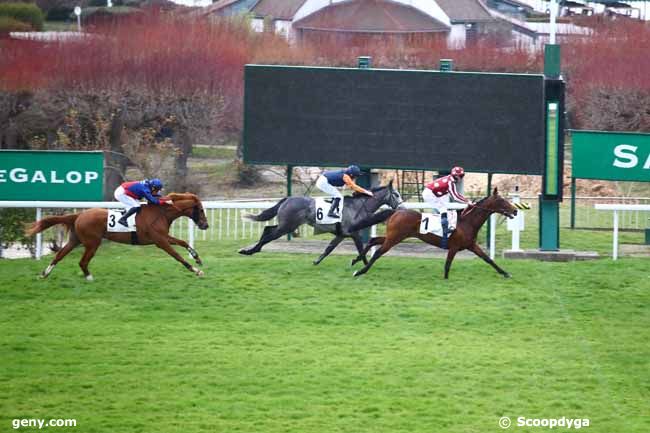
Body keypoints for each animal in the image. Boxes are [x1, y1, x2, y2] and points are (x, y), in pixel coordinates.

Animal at [24, 192, 208, 280]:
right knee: (82, 261)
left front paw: (197, 258)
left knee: (60, 255)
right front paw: (196, 270)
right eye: (200, 210)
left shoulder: (163, 237)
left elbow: (183, 242)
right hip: (92, 243)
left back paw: (44, 273)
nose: (205, 225)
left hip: (75, 240)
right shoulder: (160, 240)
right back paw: (89, 277)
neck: (161, 212)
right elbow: (177, 255)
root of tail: (79, 215)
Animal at [350, 187, 516, 278]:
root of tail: (395, 211)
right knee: (378, 252)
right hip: (394, 238)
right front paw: (446, 279)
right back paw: (360, 271)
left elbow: (488, 259)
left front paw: (505, 273)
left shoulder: (471, 245)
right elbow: (448, 264)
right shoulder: (454, 247)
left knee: (373, 240)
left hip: (393, 236)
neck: (467, 222)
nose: (515, 210)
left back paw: (356, 260)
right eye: (502, 201)